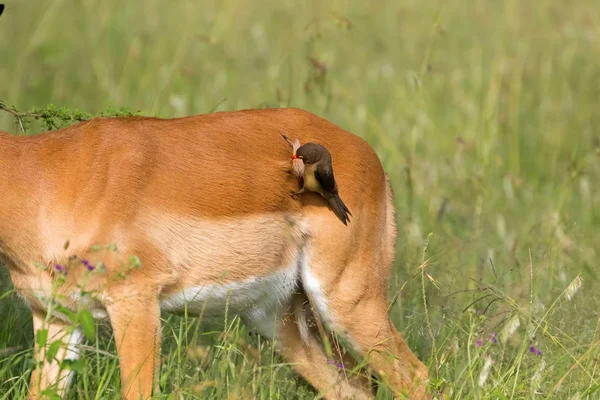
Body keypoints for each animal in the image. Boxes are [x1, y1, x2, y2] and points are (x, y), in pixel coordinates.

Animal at [1, 108, 432, 398]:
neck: (47, 178)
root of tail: (370, 156)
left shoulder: (134, 302)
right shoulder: (55, 316)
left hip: (348, 301)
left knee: (416, 376)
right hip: (282, 321)